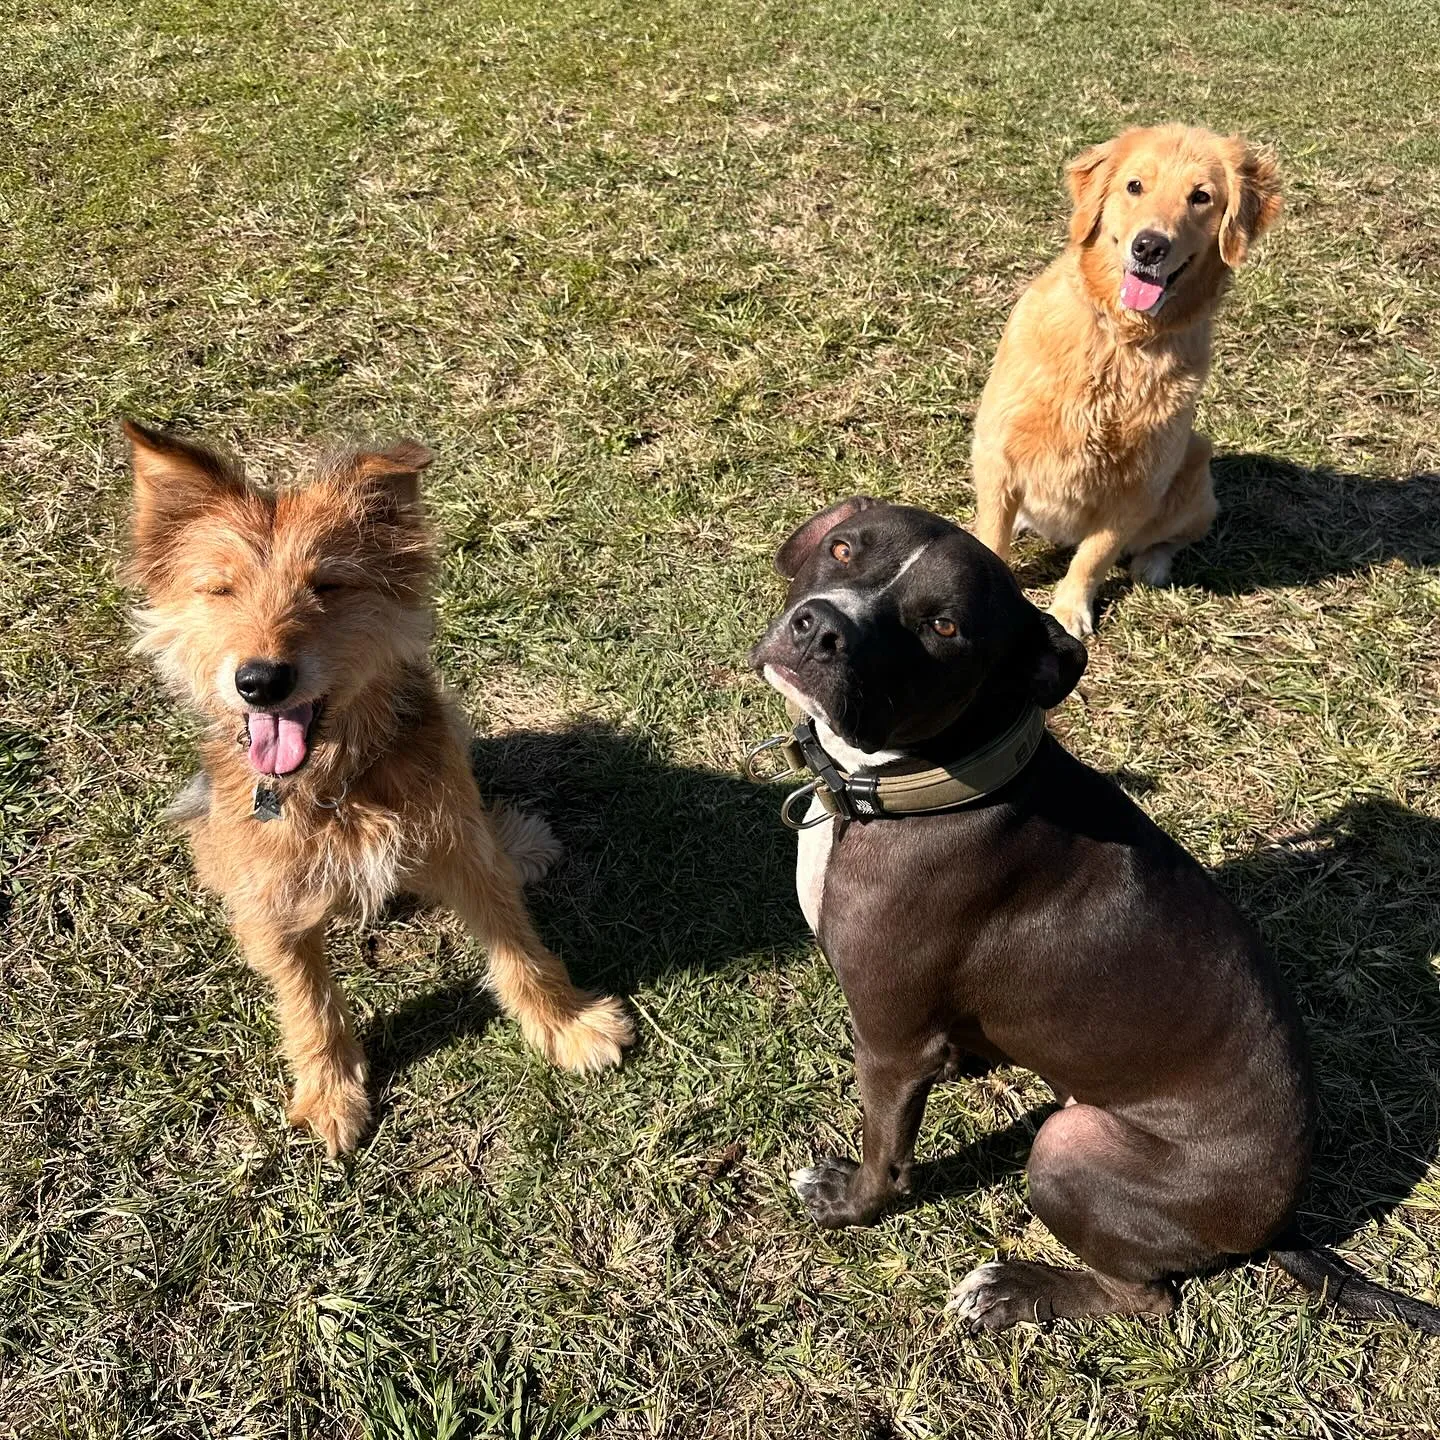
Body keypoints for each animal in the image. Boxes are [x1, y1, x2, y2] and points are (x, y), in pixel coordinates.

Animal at [126, 420, 633, 1152]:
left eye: (327, 586)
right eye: (220, 591)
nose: (260, 681)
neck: (338, 784)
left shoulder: (457, 840)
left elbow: (519, 945)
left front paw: (566, 1023)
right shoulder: (275, 901)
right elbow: (307, 1000)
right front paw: (330, 1091)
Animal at [754, 495, 1440, 1324]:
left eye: (943, 627)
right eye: (844, 548)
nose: (820, 626)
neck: (928, 782)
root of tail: (1281, 1223)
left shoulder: (890, 1042)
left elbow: (887, 1155)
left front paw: (849, 1203)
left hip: (1068, 1145)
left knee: (1149, 1298)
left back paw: (1014, 1288)